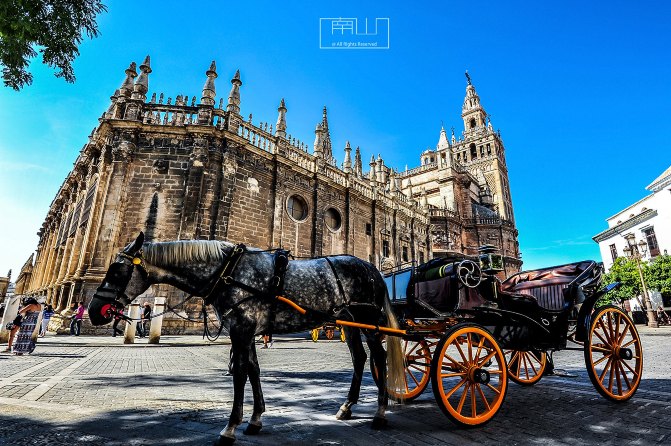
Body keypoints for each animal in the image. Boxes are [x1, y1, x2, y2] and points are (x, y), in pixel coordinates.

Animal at [87, 232, 406, 444]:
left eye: (117, 270)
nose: (93, 311)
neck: (227, 271)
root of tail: (374, 269)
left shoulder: (241, 328)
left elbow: (240, 373)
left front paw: (230, 427)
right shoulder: (247, 330)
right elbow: (253, 369)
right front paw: (255, 420)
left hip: (368, 319)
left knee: (378, 356)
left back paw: (380, 413)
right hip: (349, 322)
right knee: (360, 358)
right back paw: (347, 407)